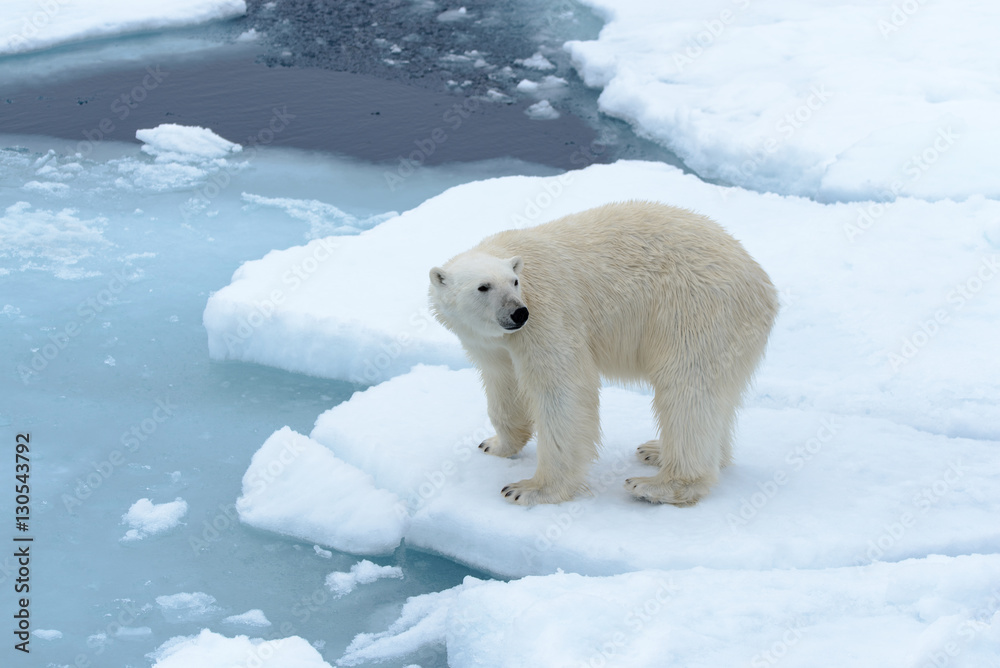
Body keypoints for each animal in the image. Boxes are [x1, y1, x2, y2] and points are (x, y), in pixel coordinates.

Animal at [428, 201, 778, 506]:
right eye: (483, 287)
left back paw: (657, 484)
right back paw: (658, 450)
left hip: (697, 310)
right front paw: (495, 444)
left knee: (687, 390)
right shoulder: (491, 343)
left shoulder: (547, 313)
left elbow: (563, 390)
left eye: (514, 282)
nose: (518, 313)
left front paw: (529, 489)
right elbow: (504, 384)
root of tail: (763, 283)